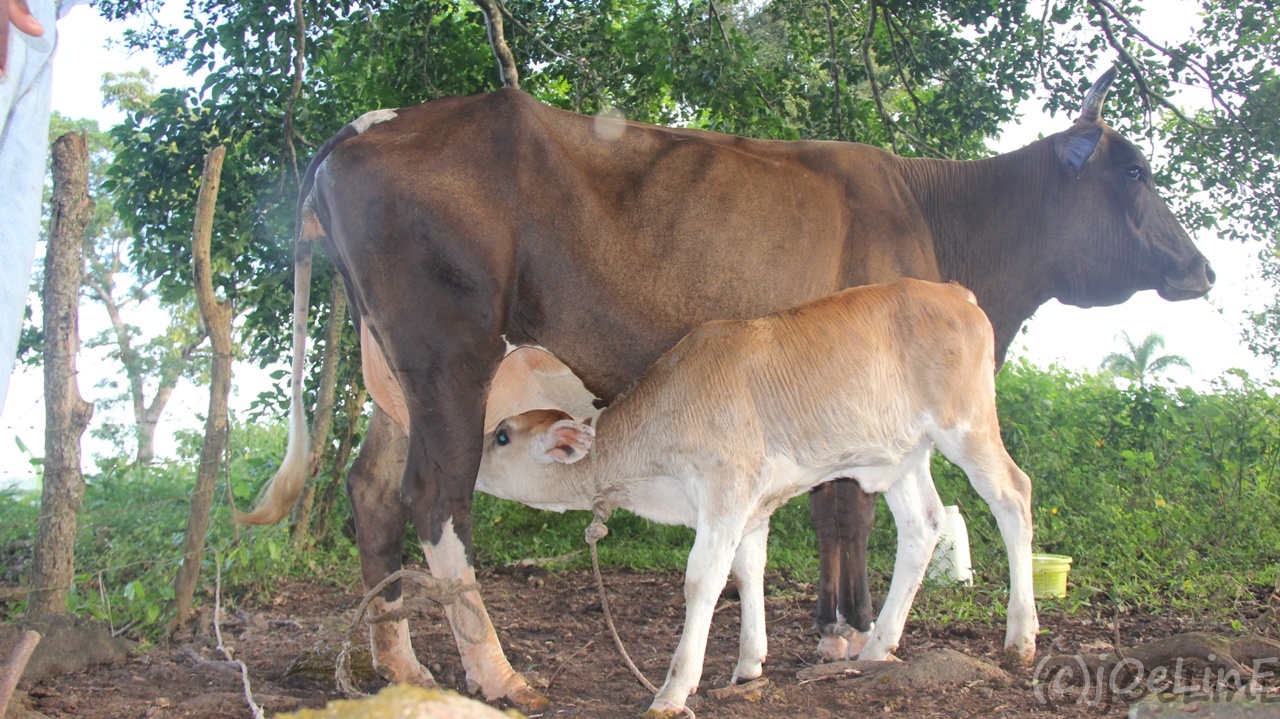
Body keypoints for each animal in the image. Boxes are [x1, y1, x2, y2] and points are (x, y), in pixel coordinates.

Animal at [476, 279, 1036, 716]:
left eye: (502, 435)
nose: (471, 458)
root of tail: (950, 291)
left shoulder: (726, 487)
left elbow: (702, 579)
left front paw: (673, 691)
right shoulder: (750, 500)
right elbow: (747, 570)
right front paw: (749, 664)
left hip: (966, 423)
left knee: (1013, 495)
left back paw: (1021, 638)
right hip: (902, 453)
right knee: (923, 524)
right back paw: (878, 645)